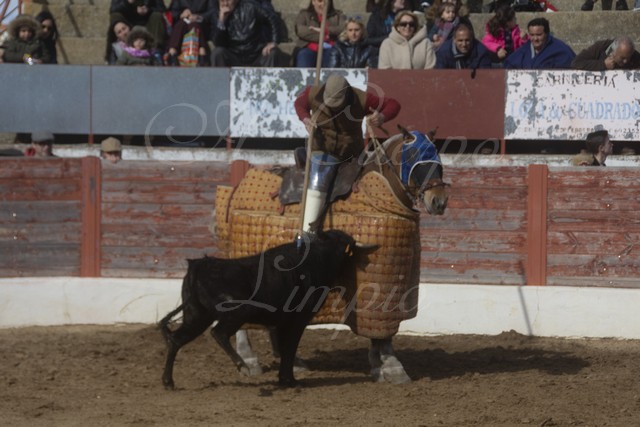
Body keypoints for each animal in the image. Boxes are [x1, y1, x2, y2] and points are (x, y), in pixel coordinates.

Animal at [160, 229, 366, 389]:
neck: (319, 258)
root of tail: (199, 266)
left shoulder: (282, 324)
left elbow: (284, 350)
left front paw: (285, 380)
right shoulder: (297, 321)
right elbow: (289, 349)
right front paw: (291, 381)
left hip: (196, 316)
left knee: (176, 340)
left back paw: (168, 382)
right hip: (237, 312)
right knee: (218, 333)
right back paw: (242, 365)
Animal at [212, 128, 449, 384]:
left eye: (437, 154)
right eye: (413, 154)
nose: (439, 201)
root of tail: (236, 188)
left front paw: (378, 365)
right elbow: (383, 331)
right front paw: (393, 367)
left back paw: (293, 361)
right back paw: (249, 360)